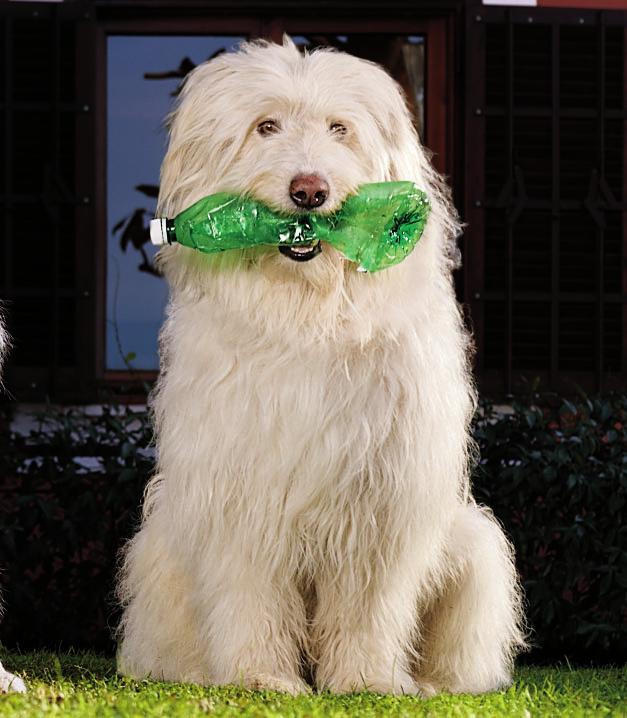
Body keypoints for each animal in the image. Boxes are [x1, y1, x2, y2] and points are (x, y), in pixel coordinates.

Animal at [116, 38, 524, 696]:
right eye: (266, 127)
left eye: (340, 128)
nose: (309, 190)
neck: (307, 313)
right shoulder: (241, 494)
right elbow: (249, 595)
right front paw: (259, 677)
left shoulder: (380, 497)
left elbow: (368, 606)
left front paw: (367, 681)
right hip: (160, 556)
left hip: (474, 547)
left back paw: (432, 684)